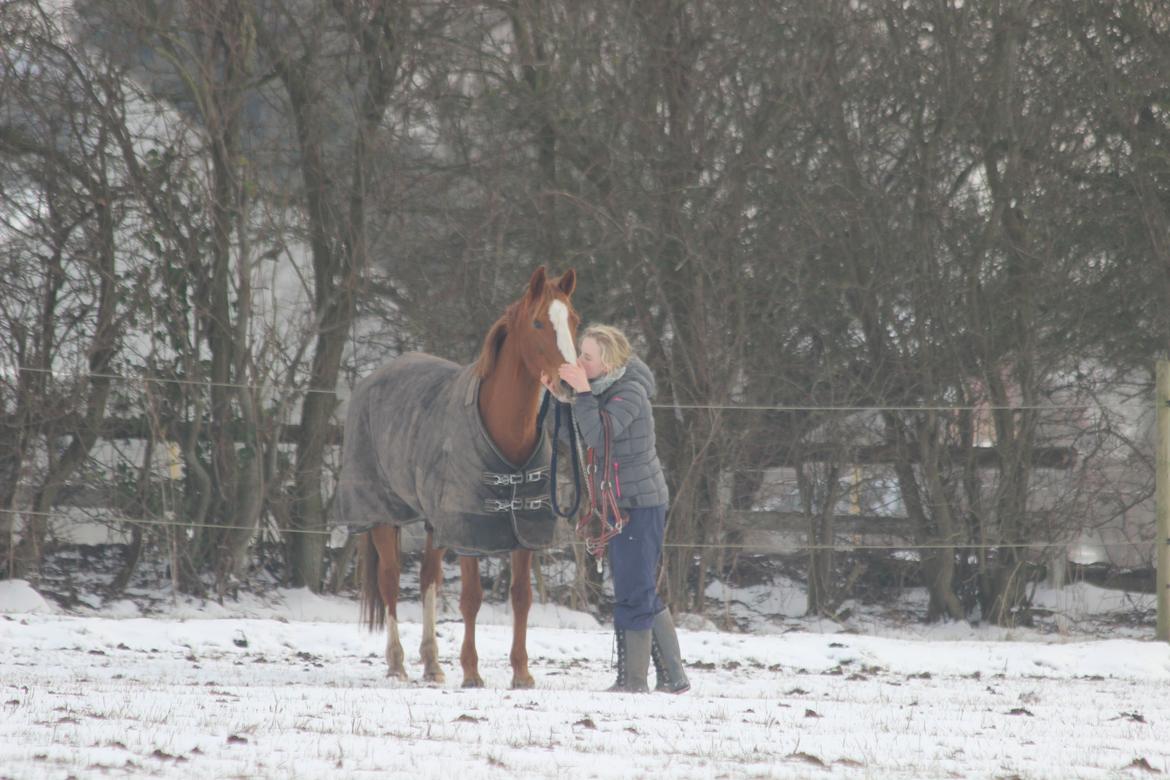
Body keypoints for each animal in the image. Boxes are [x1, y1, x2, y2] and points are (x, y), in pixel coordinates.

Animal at [343, 268, 582, 687]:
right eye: (538, 323)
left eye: (574, 321)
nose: (570, 384)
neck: (507, 434)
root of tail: (373, 379)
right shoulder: (469, 531)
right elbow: (471, 598)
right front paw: (471, 672)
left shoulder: (524, 533)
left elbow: (522, 598)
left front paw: (522, 673)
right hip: (383, 516)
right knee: (391, 581)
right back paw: (397, 664)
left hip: (433, 523)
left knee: (428, 579)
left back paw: (432, 664)